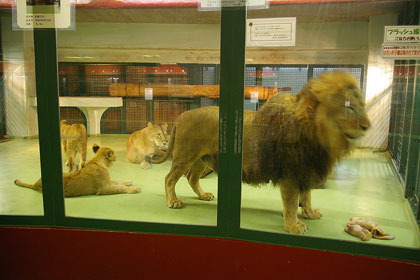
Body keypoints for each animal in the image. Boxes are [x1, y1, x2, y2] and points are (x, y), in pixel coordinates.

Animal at [153, 71, 370, 235]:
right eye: (349, 107)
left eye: (361, 105)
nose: (367, 126)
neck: (316, 135)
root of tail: (182, 115)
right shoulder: (291, 174)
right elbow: (292, 203)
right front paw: (294, 225)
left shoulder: (304, 168)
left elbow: (307, 195)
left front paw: (309, 213)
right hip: (185, 155)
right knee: (169, 178)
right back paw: (172, 201)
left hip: (202, 159)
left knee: (191, 177)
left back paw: (203, 195)